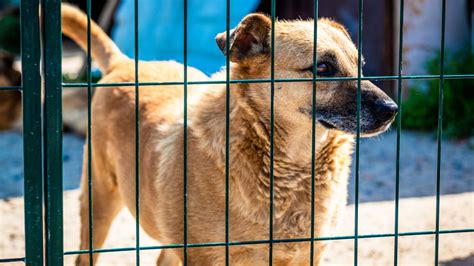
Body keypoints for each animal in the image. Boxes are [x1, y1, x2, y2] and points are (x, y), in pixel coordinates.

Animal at [62, 4, 396, 266]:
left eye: (360, 65)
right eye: (324, 67)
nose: (391, 109)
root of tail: (125, 62)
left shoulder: (307, 255)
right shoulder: (204, 257)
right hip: (99, 201)